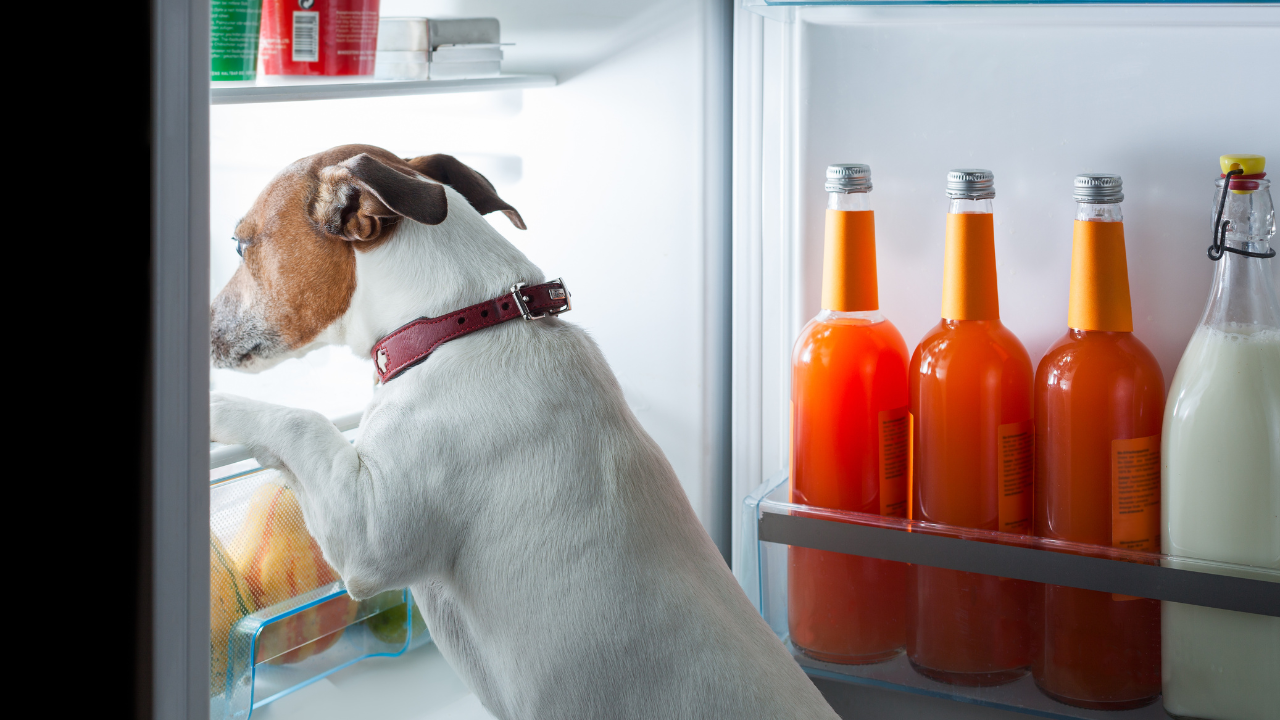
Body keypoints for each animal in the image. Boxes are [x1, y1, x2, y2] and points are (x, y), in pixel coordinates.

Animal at [207, 142, 839, 712]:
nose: (204, 325)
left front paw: (215, 406)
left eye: (240, 244)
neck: (458, 324)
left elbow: (301, 421)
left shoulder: (367, 533)